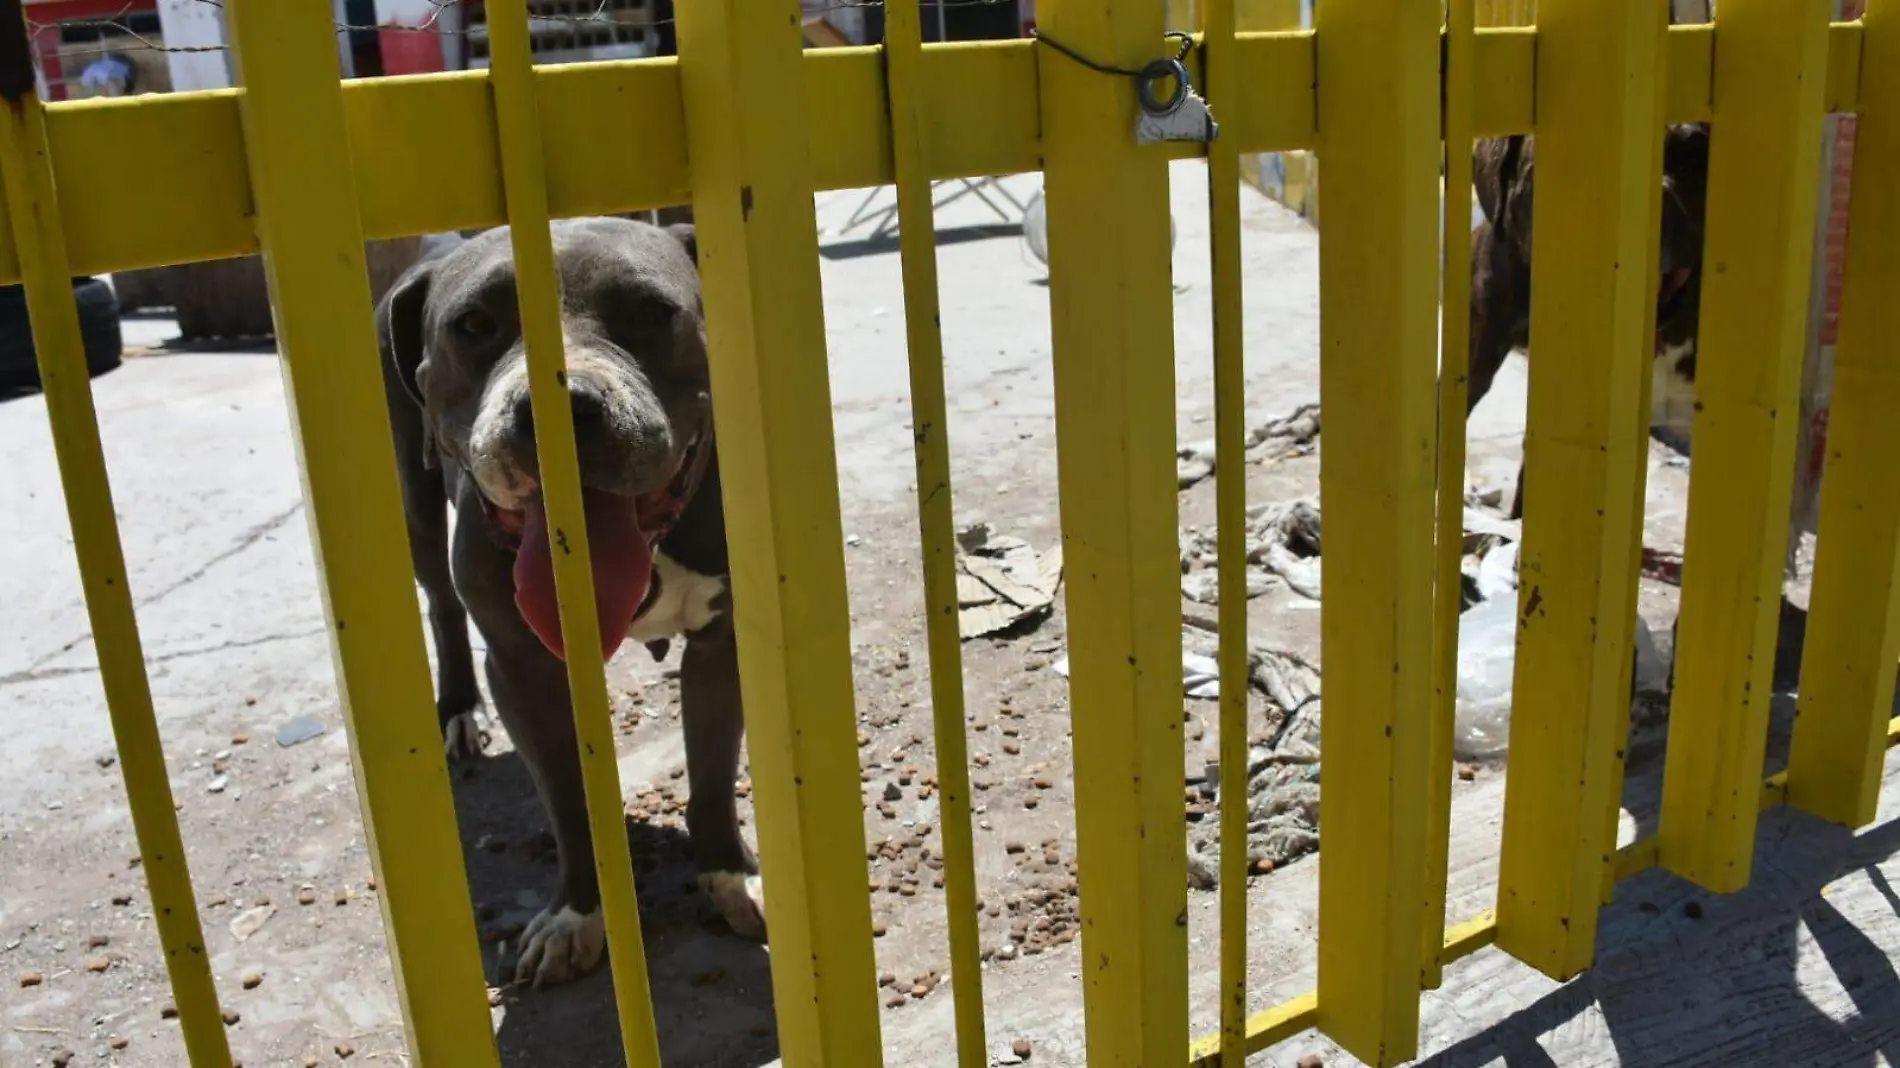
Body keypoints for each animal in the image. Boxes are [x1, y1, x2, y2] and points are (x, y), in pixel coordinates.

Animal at [374, 218, 760, 988]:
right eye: (474, 325)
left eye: (650, 313)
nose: (558, 406)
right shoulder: (523, 669)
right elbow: (568, 803)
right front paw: (578, 916)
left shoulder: (721, 646)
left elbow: (709, 773)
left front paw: (730, 876)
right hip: (415, 501)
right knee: (440, 602)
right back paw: (458, 709)